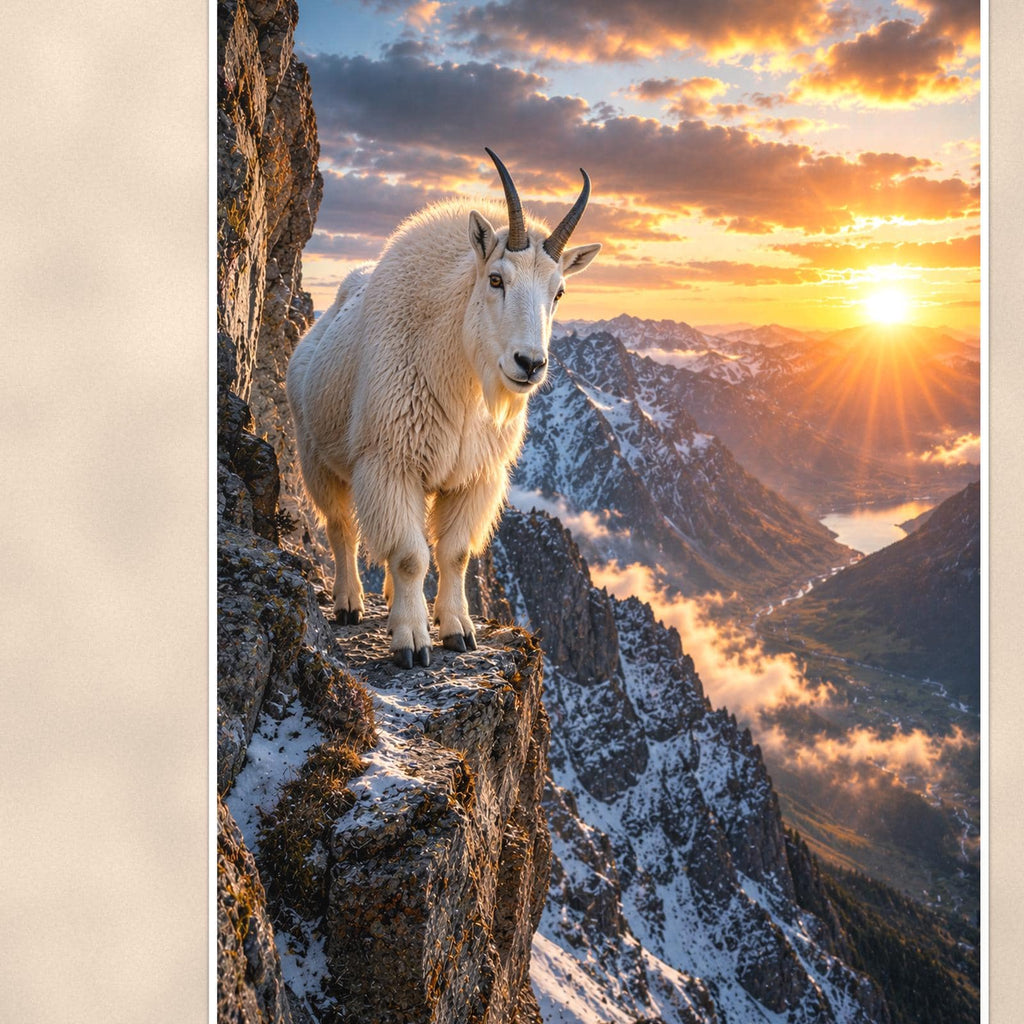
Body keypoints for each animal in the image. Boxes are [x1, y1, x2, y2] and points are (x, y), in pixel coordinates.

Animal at [286, 149, 600, 667]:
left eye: (558, 292)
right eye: (496, 279)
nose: (530, 364)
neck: (465, 381)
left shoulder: (474, 476)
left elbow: (453, 553)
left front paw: (457, 630)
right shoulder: (391, 462)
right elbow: (411, 555)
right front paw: (412, 641)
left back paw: (389, 600)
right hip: (317, 458)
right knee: (341, 527)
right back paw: (350, 603)